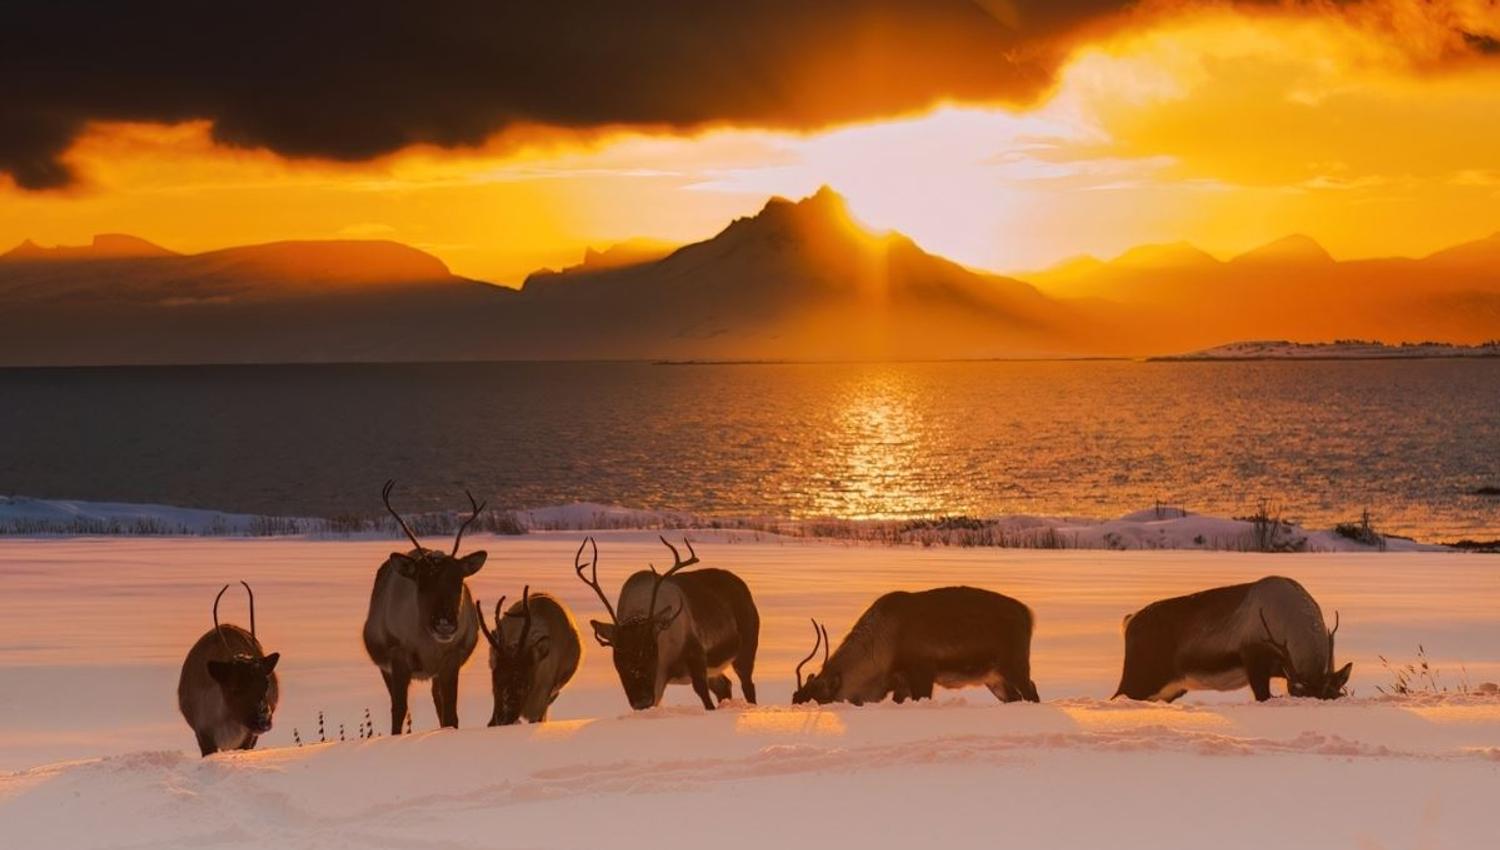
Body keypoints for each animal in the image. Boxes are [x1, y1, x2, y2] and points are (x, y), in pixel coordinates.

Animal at [362, 480, 488, 734]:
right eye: (422, 581)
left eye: (459, 580)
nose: (445, 625)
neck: (427, 646)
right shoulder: (397, 658)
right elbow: (398, 711)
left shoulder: (451, 659)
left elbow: (450, 713)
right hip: (385, 667)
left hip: (436, 673)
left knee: (438, 702)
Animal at [575, 535, 760, 711]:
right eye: (618, 653)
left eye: (651, 649)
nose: (641, 702)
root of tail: (742, 585)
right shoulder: (658, 683)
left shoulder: (697, 656)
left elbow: (704, 697)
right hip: (714, 669)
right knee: (724, 685)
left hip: (746, 647)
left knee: (747, 685)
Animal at [792, 586, 1040, 706]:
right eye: (797, 695)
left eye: (820, 695)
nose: (796, 703)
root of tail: (1027, 614)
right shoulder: (901, 681)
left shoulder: (922, 671)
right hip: (994, 679)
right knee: (1016, 697)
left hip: (1014, 666)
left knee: (1032, 691)